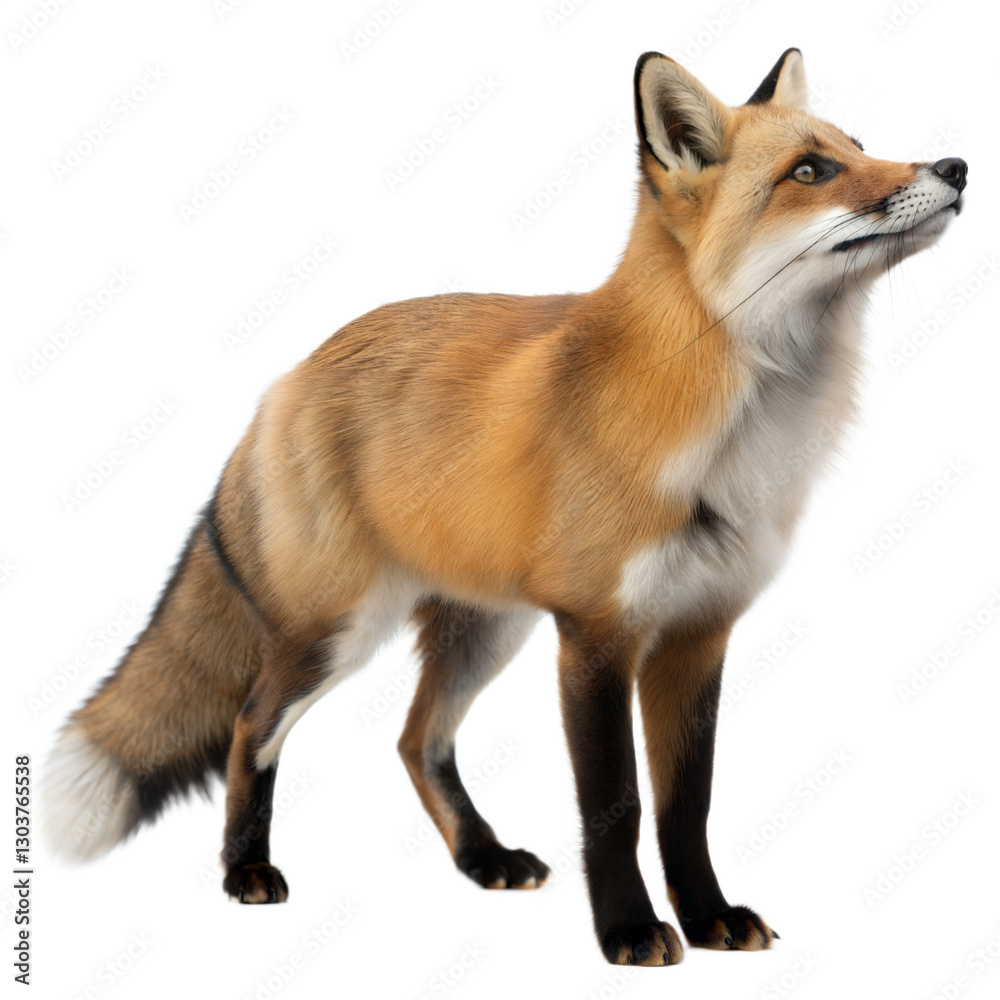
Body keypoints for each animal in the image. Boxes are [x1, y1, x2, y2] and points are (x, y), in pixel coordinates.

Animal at [45, 48, 966, 966]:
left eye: (860, 146)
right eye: (810, 172)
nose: (956, 168)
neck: (734, 432)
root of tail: (289, 377)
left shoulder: (699, 633)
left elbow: (687, 805)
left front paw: (708, 916)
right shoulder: (596, 635)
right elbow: (616, 806)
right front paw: (629, 930)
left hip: (485, 631)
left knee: (416, 740)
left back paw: (482, 857)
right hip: (335, 633)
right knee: (250, 726)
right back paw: (247, 871)